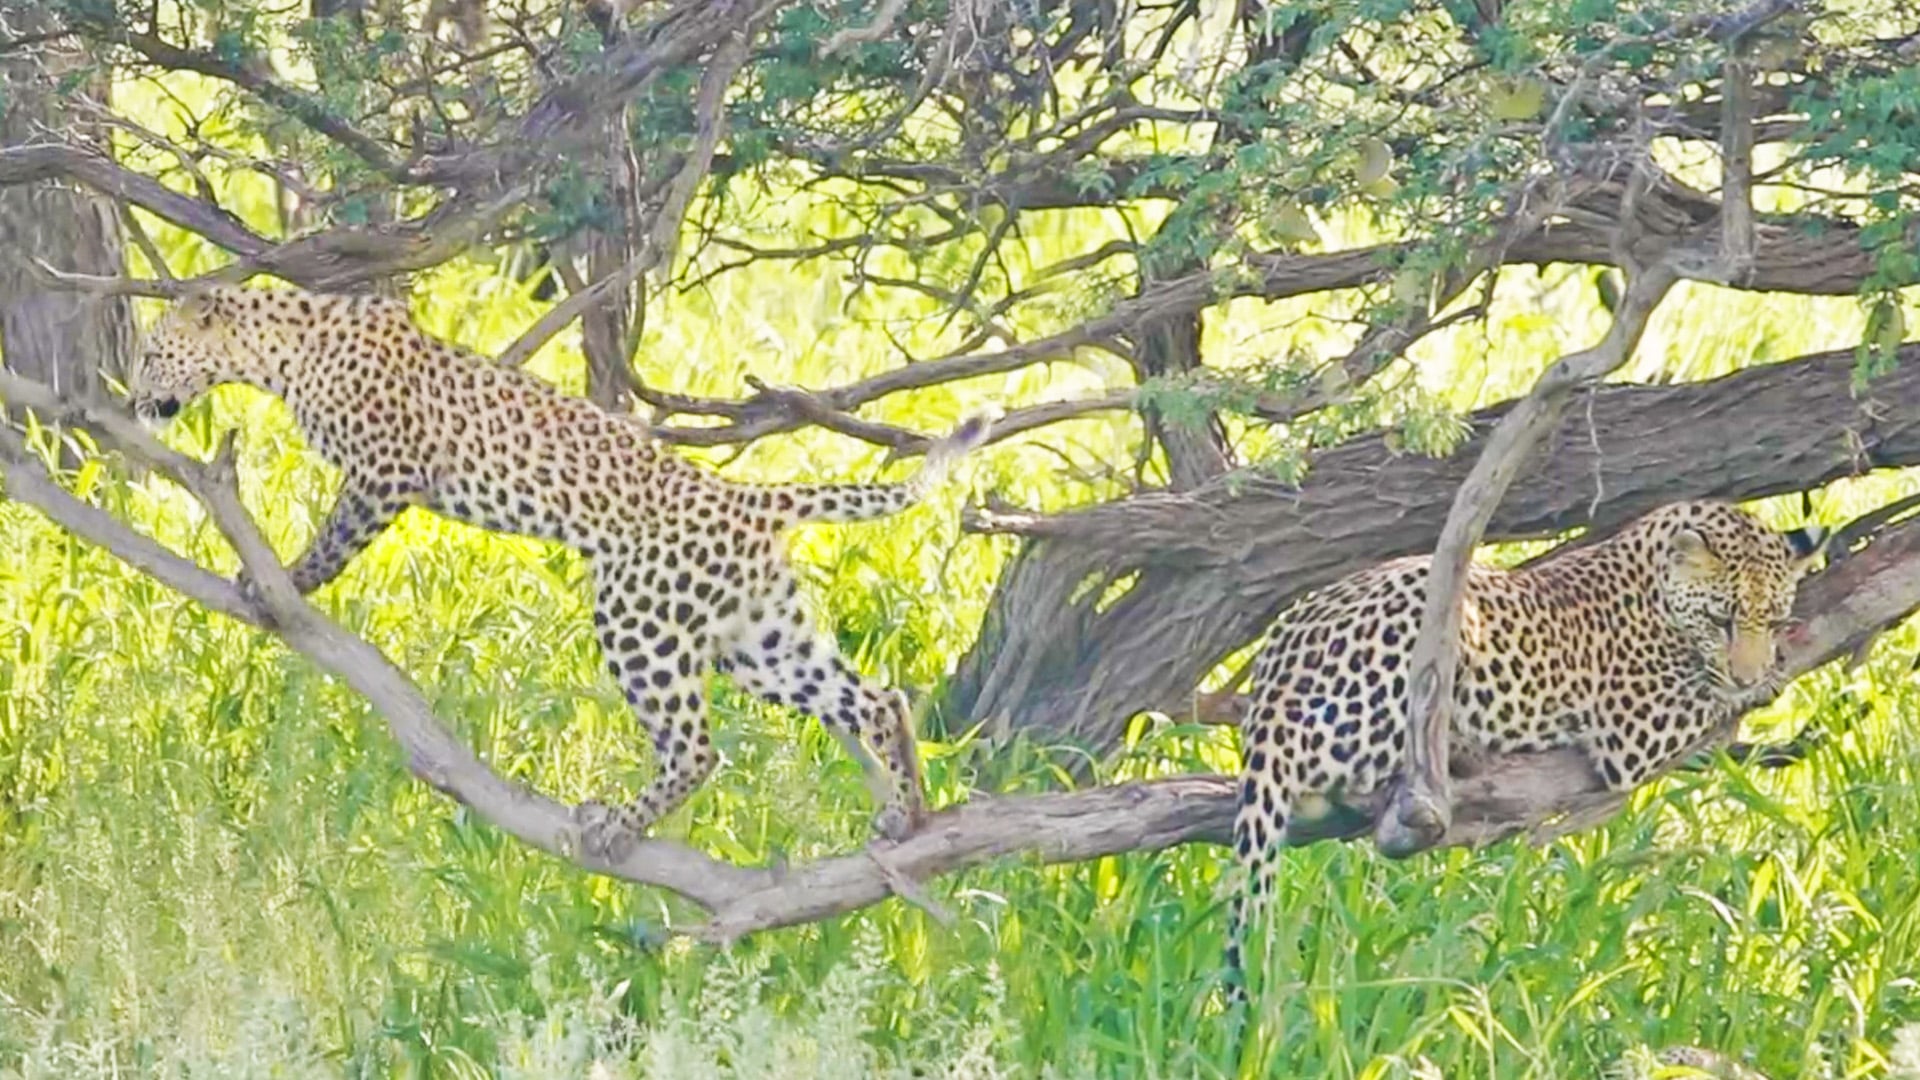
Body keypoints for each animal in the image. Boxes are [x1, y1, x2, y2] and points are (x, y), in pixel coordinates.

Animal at [126, 285, 992, 858]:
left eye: (151, 352)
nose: (133, 397)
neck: (281, 348)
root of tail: (749, 500)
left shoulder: (385, 471)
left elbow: (334, 539)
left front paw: (283, 581)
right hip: (763, 639)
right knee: (876, 698)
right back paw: (908, 815)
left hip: (640, 620)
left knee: (697, 748)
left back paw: (619, 824)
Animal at [1223, 500, 1826, 1002]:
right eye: (1721, 620)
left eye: (1772, 618)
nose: (1748, 672)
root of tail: (1273, 688)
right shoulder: (1636, 728)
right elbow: (1705, 696)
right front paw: (1760, 683)